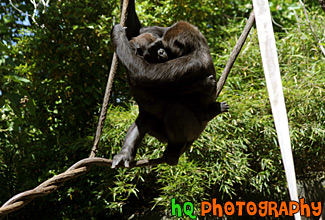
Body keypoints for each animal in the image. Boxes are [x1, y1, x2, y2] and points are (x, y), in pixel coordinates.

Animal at [110, 0, 227, 166]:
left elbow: (144, 72)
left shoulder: (191, 62)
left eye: (161, 47)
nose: (162, 52)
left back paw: (176, 146)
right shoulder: (164, 32)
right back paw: (125, 153)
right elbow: (137, 30)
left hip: (194, 132)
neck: (197, 46)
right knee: (145, 119)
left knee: (174, 109)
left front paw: (117, 35)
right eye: (157, 47)